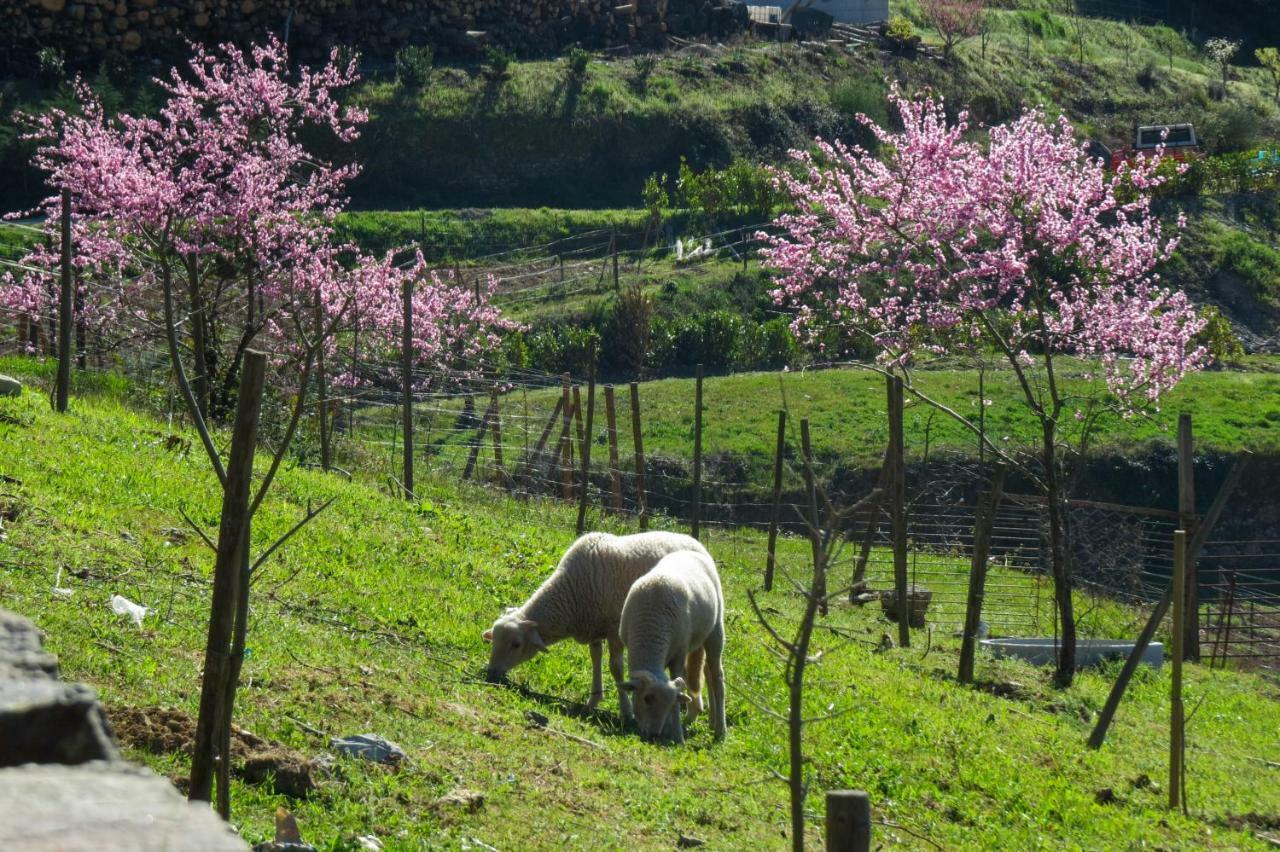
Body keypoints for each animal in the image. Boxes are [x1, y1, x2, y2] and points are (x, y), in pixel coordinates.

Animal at [481, 527, 711, 721]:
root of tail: (697, 544)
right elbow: (595, 659)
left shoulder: (614, 628)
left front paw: (626, 712)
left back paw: (692, 710)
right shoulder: (593, 627)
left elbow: (616, 668)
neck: (572, 593)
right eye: (493, 641)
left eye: (516, 644)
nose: (491, 673)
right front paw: (593, 701)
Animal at [622, 547, 727, 741]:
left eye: (671, 703)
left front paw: (677, 735)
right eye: (647, 698)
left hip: (715, 631)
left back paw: (720, 730)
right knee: (708, 674)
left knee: (717, 678)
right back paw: (712, 721)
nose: (653, 734)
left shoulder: (679, 654)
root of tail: (692, 552)